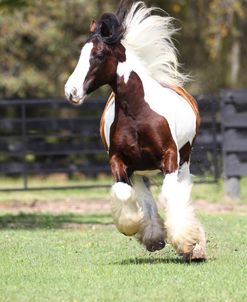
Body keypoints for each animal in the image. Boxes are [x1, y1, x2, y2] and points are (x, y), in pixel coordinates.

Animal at [64, 0, 206, 260]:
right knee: (145, 196)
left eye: (99, 54)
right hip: (139, 171)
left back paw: (194, 245)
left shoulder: (170, 158)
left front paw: (189, 244)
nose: (71, 91)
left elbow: (170, 195)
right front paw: (133, 226)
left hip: (184, 160)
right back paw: (154, 237)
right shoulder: (120, 162)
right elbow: (124, 194)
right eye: (81, 54)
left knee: (180, 192)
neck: (138, 114)